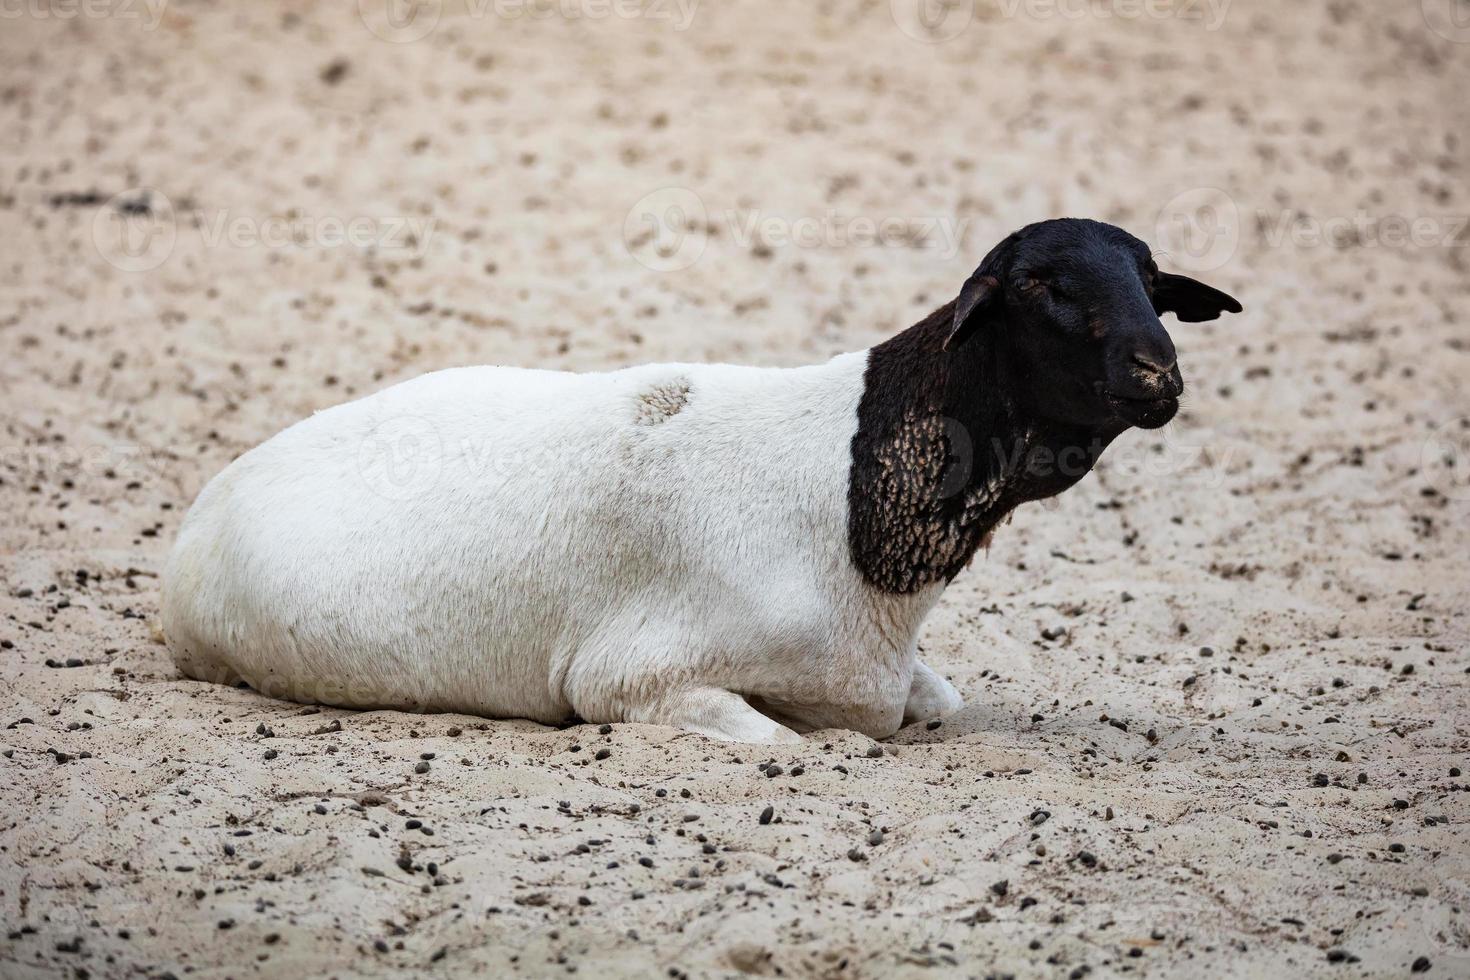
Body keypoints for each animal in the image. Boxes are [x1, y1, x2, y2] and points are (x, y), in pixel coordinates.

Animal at [160, 218, 1240, 743]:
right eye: (1041, 285)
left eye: (1154, 283)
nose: (1159, 372)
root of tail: (203, 513)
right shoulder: (632, 679)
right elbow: (780, 742)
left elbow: (940, 703)